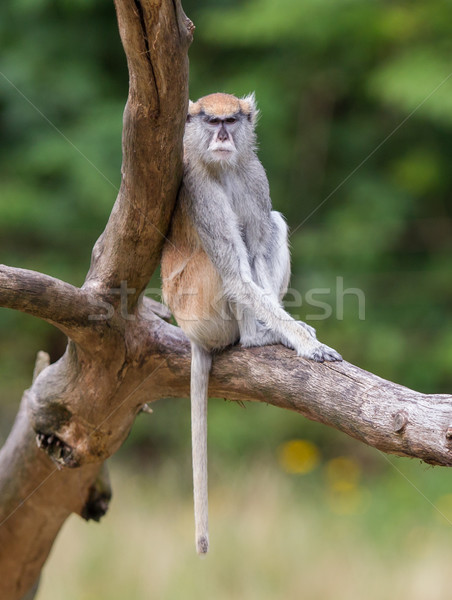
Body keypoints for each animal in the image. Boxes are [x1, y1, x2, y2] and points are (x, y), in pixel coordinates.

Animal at [161, 92, 340, 552]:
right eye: (211, 122)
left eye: (232, 121)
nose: (223, 137)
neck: (222, 167)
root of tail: (191, 334)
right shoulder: (199, 190)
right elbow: (238, 275)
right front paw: (304, 342)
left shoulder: (254, 175)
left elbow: (260, 240)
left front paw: (293, 332)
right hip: (199, 307)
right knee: (223, 264)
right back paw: (255, 338)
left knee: (271, 222)